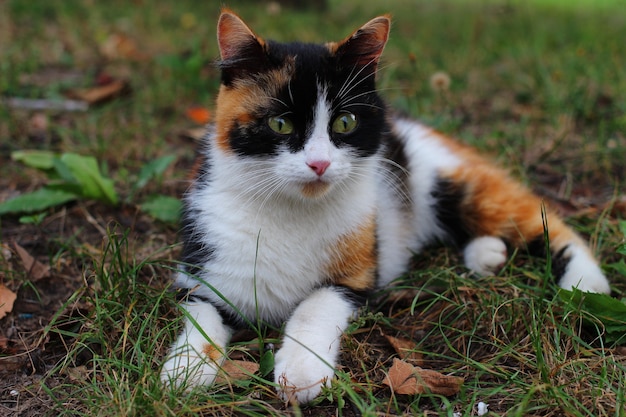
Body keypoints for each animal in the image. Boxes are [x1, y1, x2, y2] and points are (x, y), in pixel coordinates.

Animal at [160, 10, 604, 404]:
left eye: (345, 122)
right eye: (280, 124)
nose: (319, 164)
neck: (289, 209)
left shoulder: (358, 276)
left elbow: (315, 305)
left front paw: (302, 372)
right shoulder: (201, 269)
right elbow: (201, 316)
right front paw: (185, 371)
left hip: (449, 178)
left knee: (541, 221)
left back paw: (586, 286)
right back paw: (487, 253)